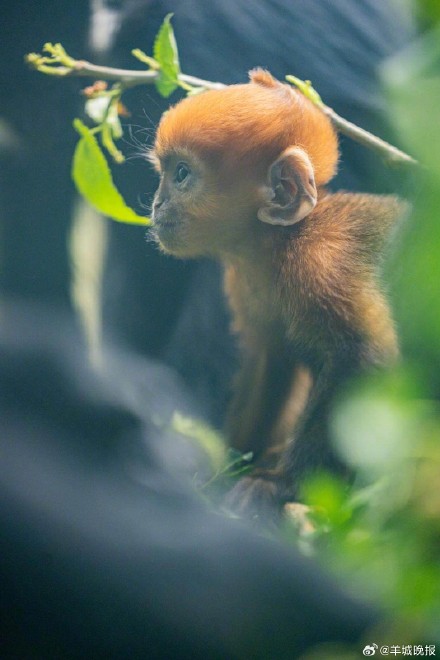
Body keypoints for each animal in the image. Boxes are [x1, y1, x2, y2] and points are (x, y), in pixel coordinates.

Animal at [151, 69, 406, 520]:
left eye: (180, 174)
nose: (157, 203)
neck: (280, 244)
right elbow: (270, 358)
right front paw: (226, 465)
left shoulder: (325, 264)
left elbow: (363, 356)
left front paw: (277, 484)